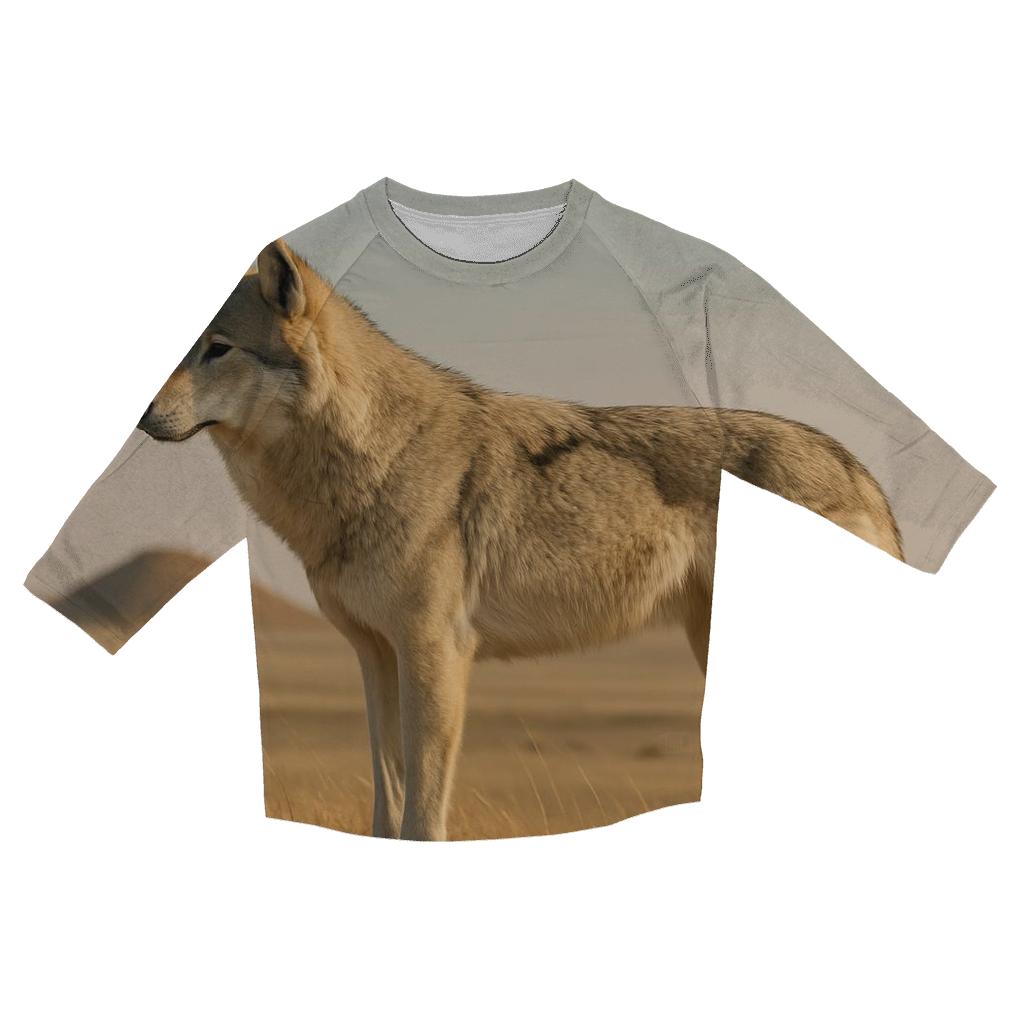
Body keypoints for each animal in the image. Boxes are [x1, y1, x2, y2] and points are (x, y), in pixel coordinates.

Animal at [138, 240, 904, 840]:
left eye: (217, 349)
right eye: (186, 346)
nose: (142, 418)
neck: (370, 456)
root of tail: (859, 466)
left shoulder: (437, 650)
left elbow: (423, 820)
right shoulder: (375, 655)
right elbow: (386, 810)